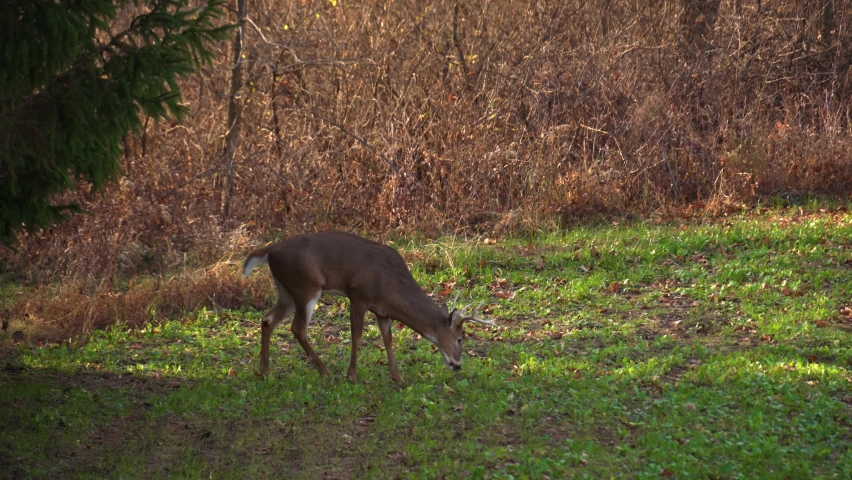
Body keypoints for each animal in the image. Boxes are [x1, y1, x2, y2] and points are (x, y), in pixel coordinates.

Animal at [240, 232, 496, 382]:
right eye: (460, 339)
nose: (458, 365)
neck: (392, 285)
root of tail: (270, 251)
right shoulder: (358, 296)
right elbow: (356, 334)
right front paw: (352, 375)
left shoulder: (382, 310)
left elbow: (388, 340)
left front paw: (398, 378)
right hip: (306, 287)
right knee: (298, 328)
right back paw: (327, 374)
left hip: (286, 291)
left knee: (268, 320)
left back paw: (265, 372)